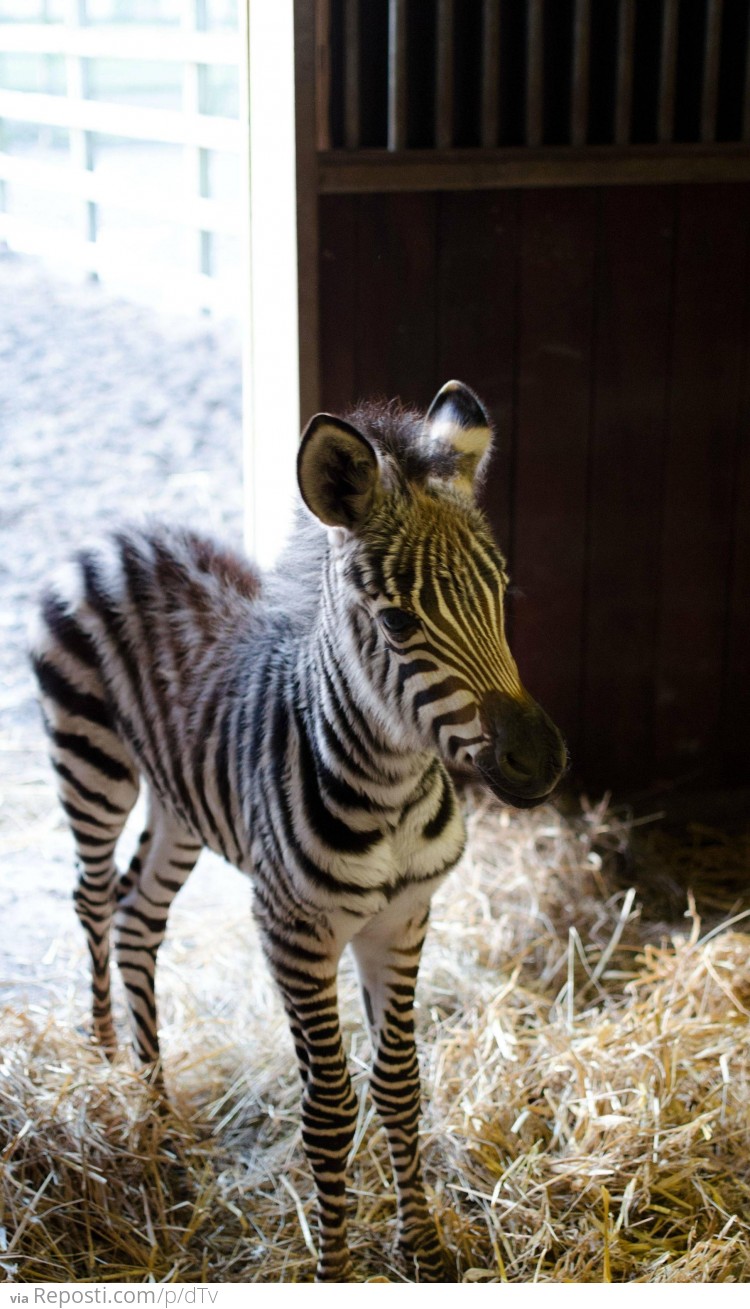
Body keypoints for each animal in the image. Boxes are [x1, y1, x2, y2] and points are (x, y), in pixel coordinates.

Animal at [32, 382, 565, 1277]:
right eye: (396, 622)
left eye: (500, 592)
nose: (541, 759)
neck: (392, 793)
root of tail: (121, 531)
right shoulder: (292, 929)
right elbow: (331, 1106)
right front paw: (336, 1265)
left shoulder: (403, 918)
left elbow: (399, 1085)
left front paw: (423, 1248)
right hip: (91, 759)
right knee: (91, 897)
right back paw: (102, 1062)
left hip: (181, 802)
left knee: (139, 915)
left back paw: (155, 1110)